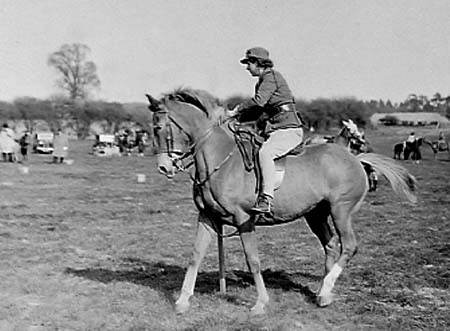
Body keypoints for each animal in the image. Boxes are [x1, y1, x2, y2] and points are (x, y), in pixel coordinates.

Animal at [146, 89, 416, 316]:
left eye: (159, 127)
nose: (164, 167)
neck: (220, 159)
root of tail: (356, 159)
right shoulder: (208, 217)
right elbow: (195, 256)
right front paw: (182, 301)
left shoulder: (244, 220)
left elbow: (253, 260)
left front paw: (260, 303)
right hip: (316, 214)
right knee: (330, 245)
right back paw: (323, 293)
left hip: (341, 211)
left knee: (349, 246)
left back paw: (326, 288)